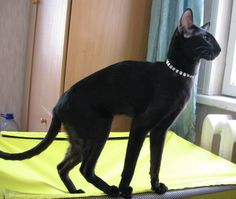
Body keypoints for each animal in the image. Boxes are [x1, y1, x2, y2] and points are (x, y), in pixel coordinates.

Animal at [0, 8, 220, 198]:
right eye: (207, 38)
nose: (219, 49)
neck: (180, 74)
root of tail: (58, 104)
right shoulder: (140, 126)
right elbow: (130, 165)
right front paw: (125, 189)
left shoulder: (160, 131)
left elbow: (155, 163)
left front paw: (156, 187)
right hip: (101, 128)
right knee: (85, 168)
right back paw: (111, 190)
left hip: (81, 140)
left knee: (62, 167)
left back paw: (74, 191)